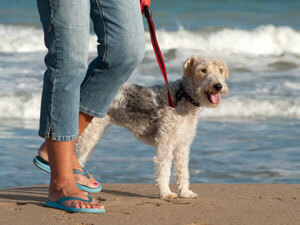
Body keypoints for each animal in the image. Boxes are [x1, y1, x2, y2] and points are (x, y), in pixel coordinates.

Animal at [74, 55, 229, 199]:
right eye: (203, 70)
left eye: (221, 70)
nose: (218, 86)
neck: (183, 96)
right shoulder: (165, 142)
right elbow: (164, 169)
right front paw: (166, 193)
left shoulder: (182, 144)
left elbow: (182, 171)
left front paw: (185, 193)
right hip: (88, 135)